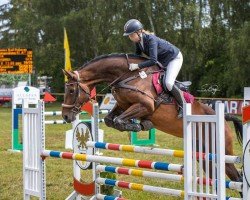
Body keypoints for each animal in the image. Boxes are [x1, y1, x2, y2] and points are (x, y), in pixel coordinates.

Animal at [61, 52, 243, 191]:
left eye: (71, 90)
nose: (65, 116)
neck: (127, 76)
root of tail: (223, 117)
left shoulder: (145, 105)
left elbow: (119, 121)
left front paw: (138, 125)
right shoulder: (122, 106)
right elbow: (109, 120)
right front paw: (140, 124)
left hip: (222, 151)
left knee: (237, 177)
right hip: (204, 155)